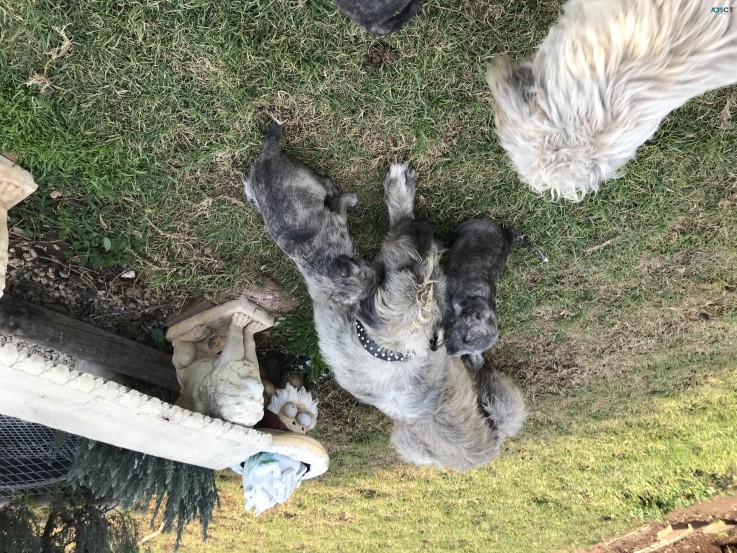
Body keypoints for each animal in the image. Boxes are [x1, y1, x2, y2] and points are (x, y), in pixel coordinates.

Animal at [243, 121, 380, 304]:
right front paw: (350, 199)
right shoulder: (338, 217)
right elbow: (342, 203)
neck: (326, 265)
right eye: (369, 268)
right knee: (324, 180)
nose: (382, 273)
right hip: (307, 184)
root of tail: (267, 155)